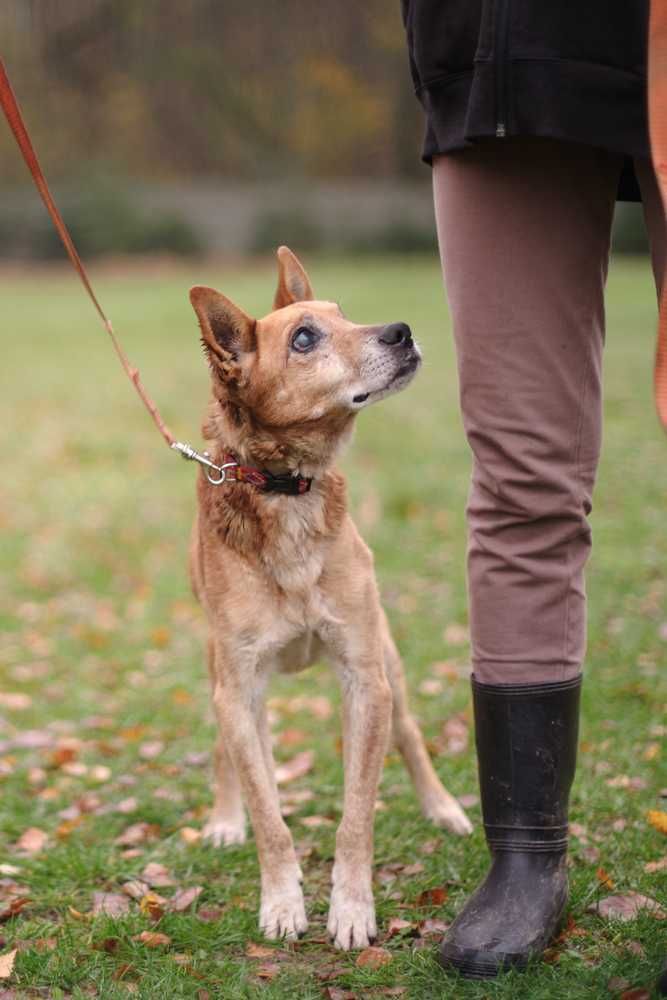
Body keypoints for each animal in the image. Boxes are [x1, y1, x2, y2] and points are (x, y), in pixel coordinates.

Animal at [187, 246, 470, 948]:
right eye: (303, 338)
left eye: (345, 313)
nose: (400, 330)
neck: (289, 489)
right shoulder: (239, 688)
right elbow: (270, 815)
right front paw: (283, 902)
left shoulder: (365, 677)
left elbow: (356, 816)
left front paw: (351, 908)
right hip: (220, 671)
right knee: (232, 750)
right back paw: (225, 818)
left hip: (389, 659)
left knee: (412, 734)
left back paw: (443, 808)